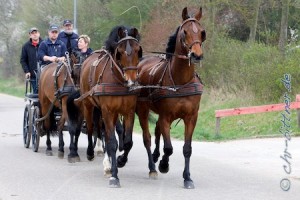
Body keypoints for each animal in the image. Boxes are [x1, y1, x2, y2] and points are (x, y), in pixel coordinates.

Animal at [67, 25, 142, 188]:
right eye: (120, 52)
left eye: (138, 50)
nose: (132, 80)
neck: (118, 80)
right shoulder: (107, 111)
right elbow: (112, 142)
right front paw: (114, 176)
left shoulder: (128, 112)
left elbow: (127, 141)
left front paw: (120, 161)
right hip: (89, 105)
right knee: (90, 129)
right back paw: (90, 153)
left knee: (104, 133)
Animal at [136, 7, 206, 189]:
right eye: (184, 32)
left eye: (202, 32)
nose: (196, 55)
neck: (180, 81)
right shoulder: (166, 116)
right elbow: (168, 148)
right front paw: (164, 164)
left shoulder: (191, 117)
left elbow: (187, 148)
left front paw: (187, 177)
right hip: (142, 109)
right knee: (147, 137)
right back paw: (153, 166)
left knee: (157, 130)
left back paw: (155, 156)